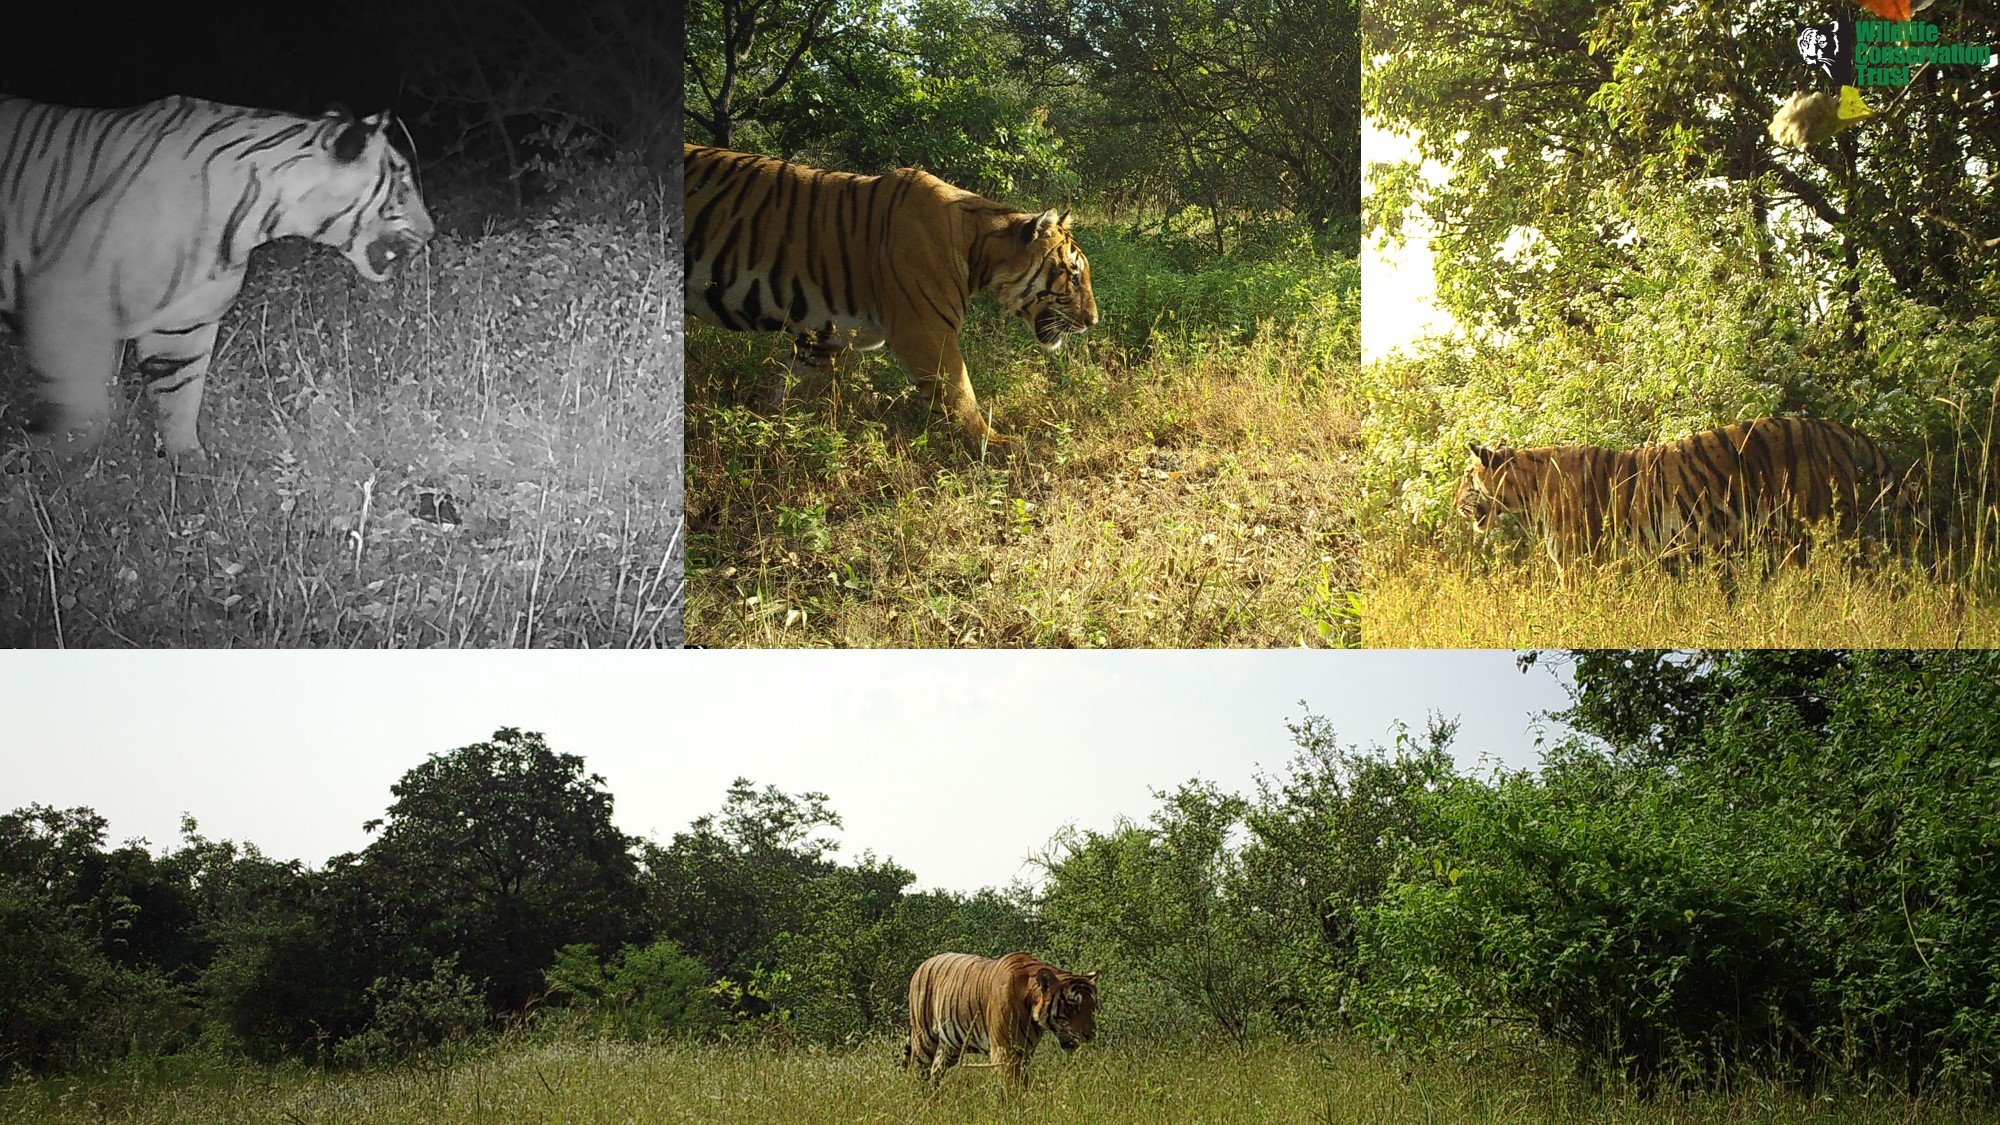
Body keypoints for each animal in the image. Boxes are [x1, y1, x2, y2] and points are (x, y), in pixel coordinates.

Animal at [0, 95, 434, 460]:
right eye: (402, 182)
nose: (431, 231)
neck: (255, 218)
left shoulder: (184, 323)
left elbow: (179, 394)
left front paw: (189, 468)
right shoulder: (67, 297)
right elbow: (85, 409)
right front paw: (58, 463)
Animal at [684, 142, 1096, 452]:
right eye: (1073, 275)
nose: (1092, 321)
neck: (976, 251)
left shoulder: (822, 338)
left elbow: (790, 391)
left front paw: (770, 435)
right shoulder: (924, 331)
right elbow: (961, 393)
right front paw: (997, 445)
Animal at [904, 944, 1096, 1088]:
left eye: (1093, 1007)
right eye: (1072, 1006)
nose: (1090, 1035)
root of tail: (923, 964)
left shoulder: (1024, 1053)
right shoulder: (1005, 1051)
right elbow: (1014, 1088)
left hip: (950, 1046)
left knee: (936, 1070)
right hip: (924, 1038)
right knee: (918, 1072)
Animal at [1456, 414, 1904, 568]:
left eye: (1465, 479)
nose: (1453, 503)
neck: (1526, 490)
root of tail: (1830, 426)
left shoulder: (1577, 559)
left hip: (1824, 516)